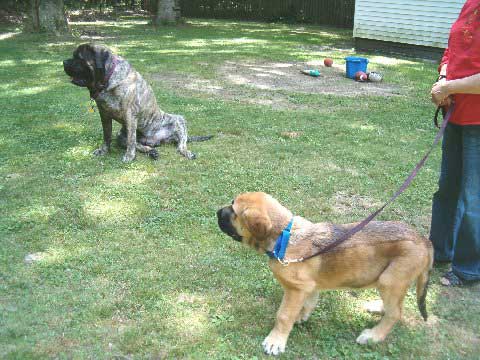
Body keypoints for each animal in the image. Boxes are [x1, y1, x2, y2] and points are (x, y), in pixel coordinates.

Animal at [62, 43, 210, 162]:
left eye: (79, 58)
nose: (64, 61)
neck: (107, 80)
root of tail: (158, 141)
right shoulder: (104, 114)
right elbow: (107, 135)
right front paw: (103, 150)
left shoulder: (130, 115)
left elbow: (131, 140)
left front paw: (129, 156)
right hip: (120, 135)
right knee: (141, 145)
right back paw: (152, 151)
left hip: (178, 119)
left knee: (181, 145)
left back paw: (186, 152)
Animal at [218, 193, 436, 356]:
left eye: (234, 210)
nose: (216, 212)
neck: (284, 236)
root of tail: (425, 241)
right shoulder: (307, 286)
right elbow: (308, 303)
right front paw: (301, 316)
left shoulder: (296, 289)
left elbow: (283, 315)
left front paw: (275, 341)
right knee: (395, 306)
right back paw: (377, 308)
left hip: (390, 280)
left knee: (396, 313)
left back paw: (373, 336)